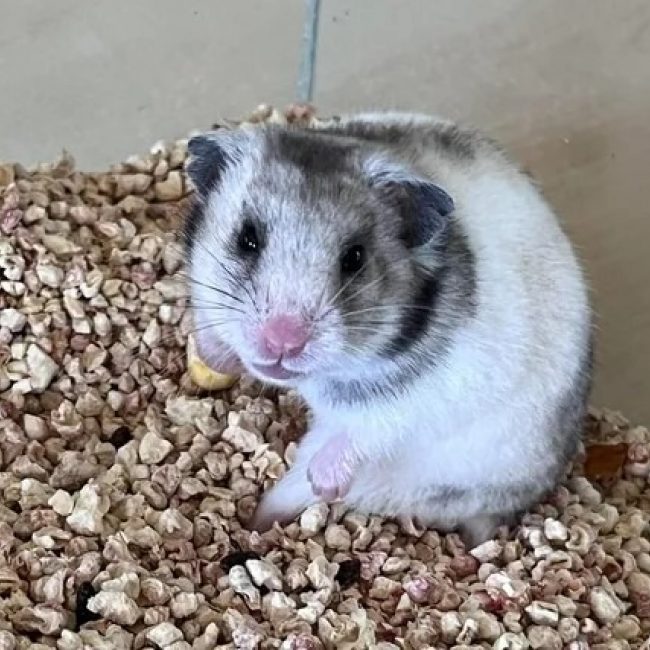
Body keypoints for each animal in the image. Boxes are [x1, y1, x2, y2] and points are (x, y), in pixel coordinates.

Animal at [183, 112, 592, 547]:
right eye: (247, 239)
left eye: (355, 258)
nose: (283, 342)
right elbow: (210, 324)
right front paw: (215, 359)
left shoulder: (410, 405)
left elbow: (367, 431)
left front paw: (326, 483)